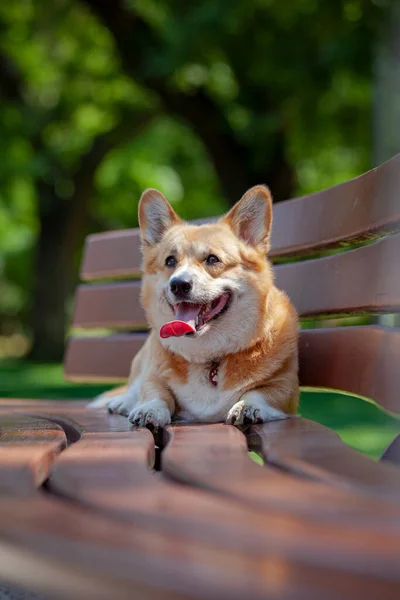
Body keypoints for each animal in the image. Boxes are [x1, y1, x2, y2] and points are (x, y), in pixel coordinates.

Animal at [93, 186, 300, 426]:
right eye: (170, 261)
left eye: (212, 259)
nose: (179, 284)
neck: (209, 356)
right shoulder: (153, 375)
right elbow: (155, 392)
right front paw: (149, 409)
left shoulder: (285, 388)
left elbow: (259, 393)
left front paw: (248, 407)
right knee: (134, 385)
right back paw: (123, 402)